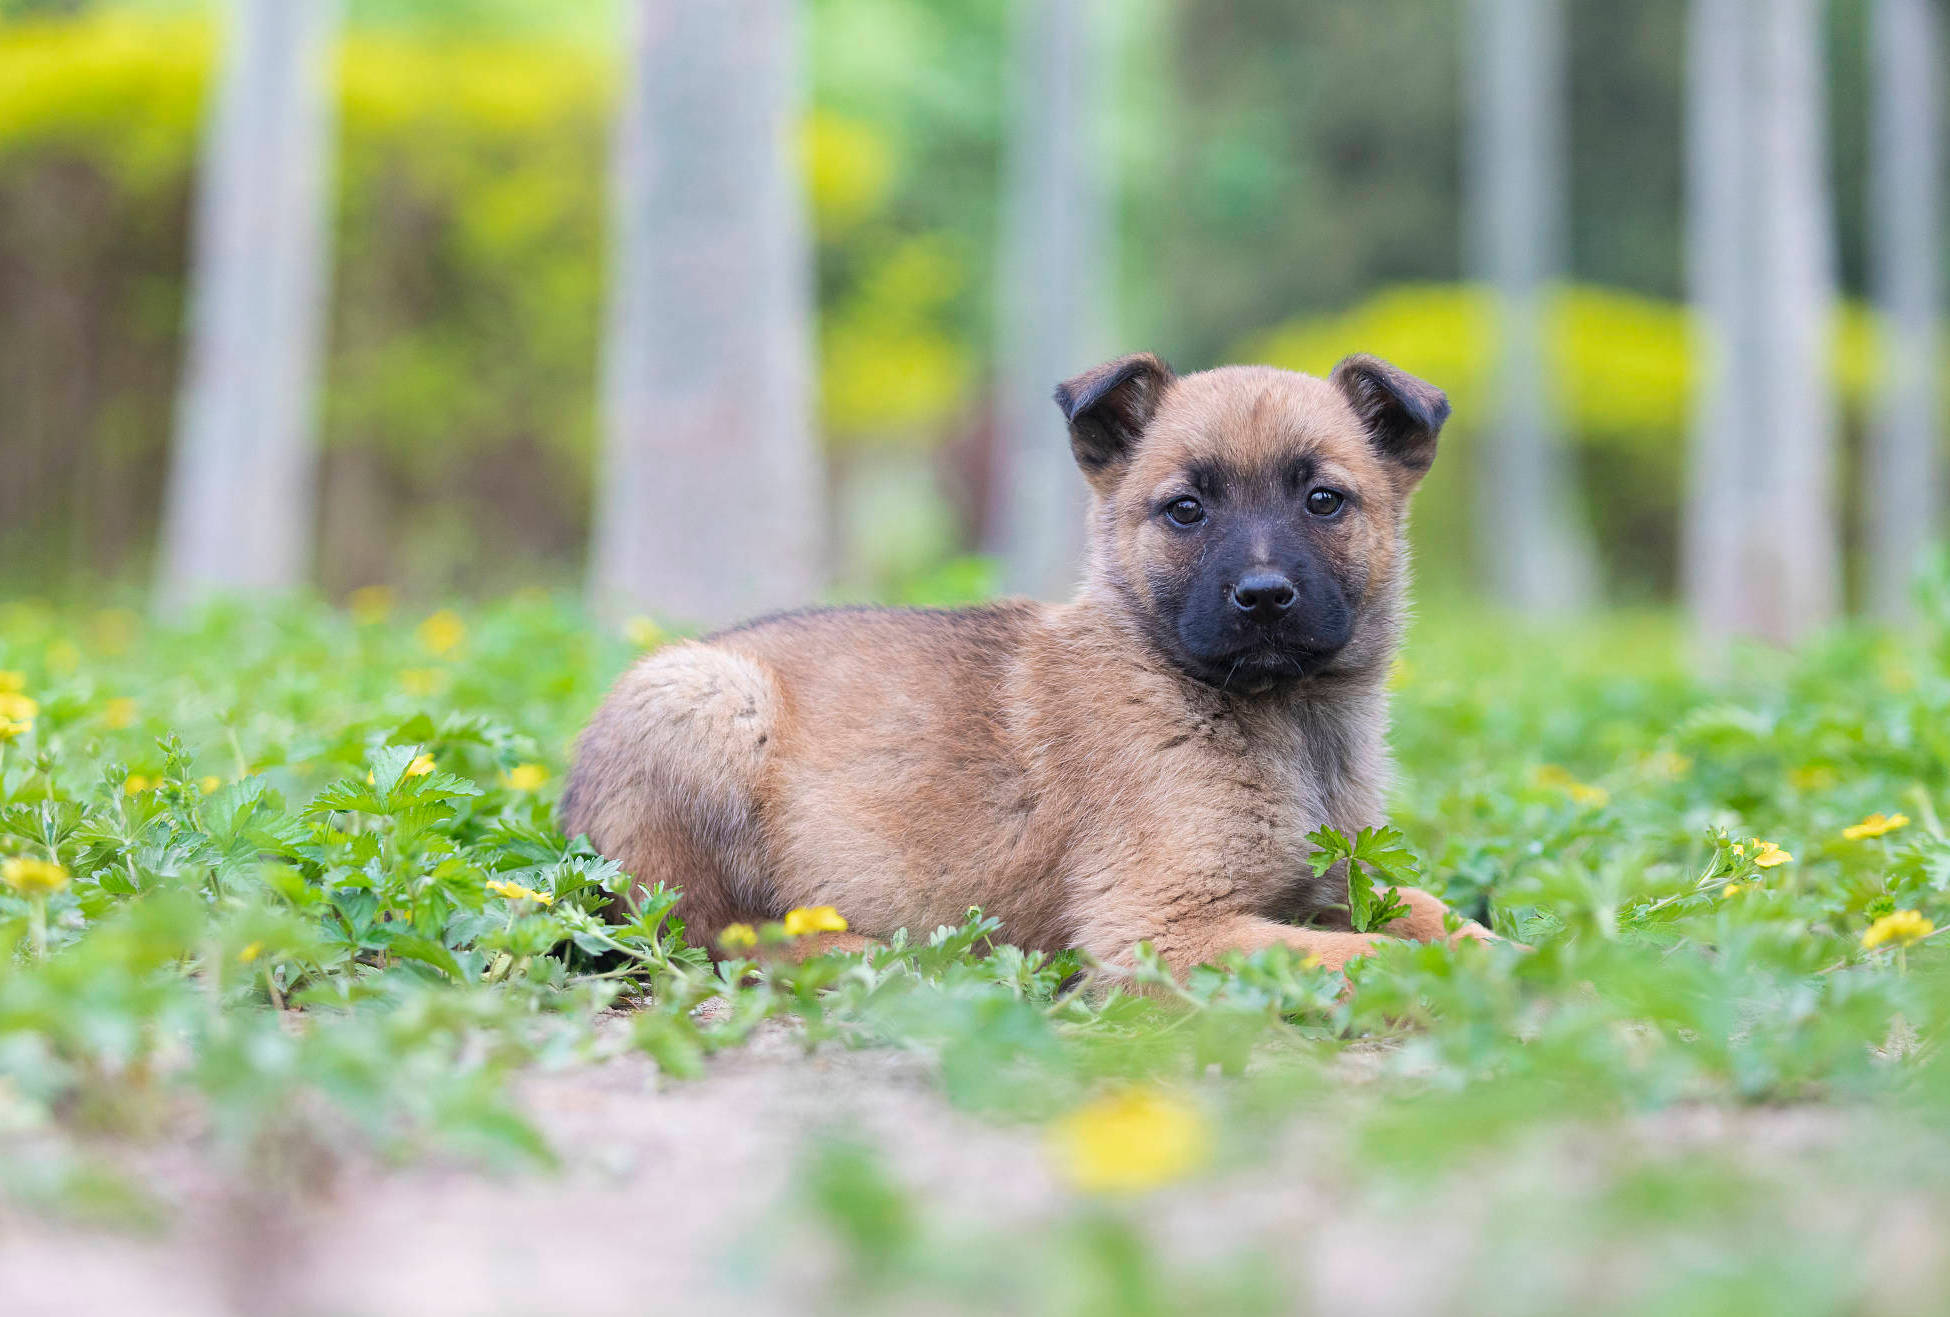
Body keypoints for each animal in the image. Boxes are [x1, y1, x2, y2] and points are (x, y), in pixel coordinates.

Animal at [565, 355, 1489, 975]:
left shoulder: (1339, 878)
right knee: (712, 931)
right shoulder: (1162, 925)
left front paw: (1506, 950)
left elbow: (1431, 914)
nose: (1263, 596)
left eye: (1323, 500)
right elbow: (1374, 957)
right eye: (1186, 510)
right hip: (704, 698)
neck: (1284, 717)